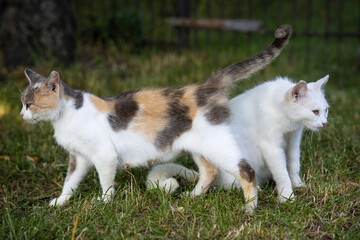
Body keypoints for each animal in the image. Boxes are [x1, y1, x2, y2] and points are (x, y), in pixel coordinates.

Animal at [20, 25, 292, 213]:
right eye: (22, 101)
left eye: (29, 104)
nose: (21, 114)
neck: (66, 115)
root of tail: (207, 86)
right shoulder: (80, 158)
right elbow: (70, 183)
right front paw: (60, 202)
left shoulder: (104, 155)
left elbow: (106, 182)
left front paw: (105, 202)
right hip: (199, 147)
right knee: (209, 172)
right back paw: (191, 197)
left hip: (218, 145)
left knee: (246, 170)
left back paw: (250, 208)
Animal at [146, 75, 330, 202]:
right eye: (315, 112)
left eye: (326, 110)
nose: (325, 123)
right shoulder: (271, 146)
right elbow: (281, 172)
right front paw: (287, 196)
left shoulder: (293, 140)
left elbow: (293, 164)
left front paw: (298, 184)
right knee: (234, 184)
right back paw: (257, 190)